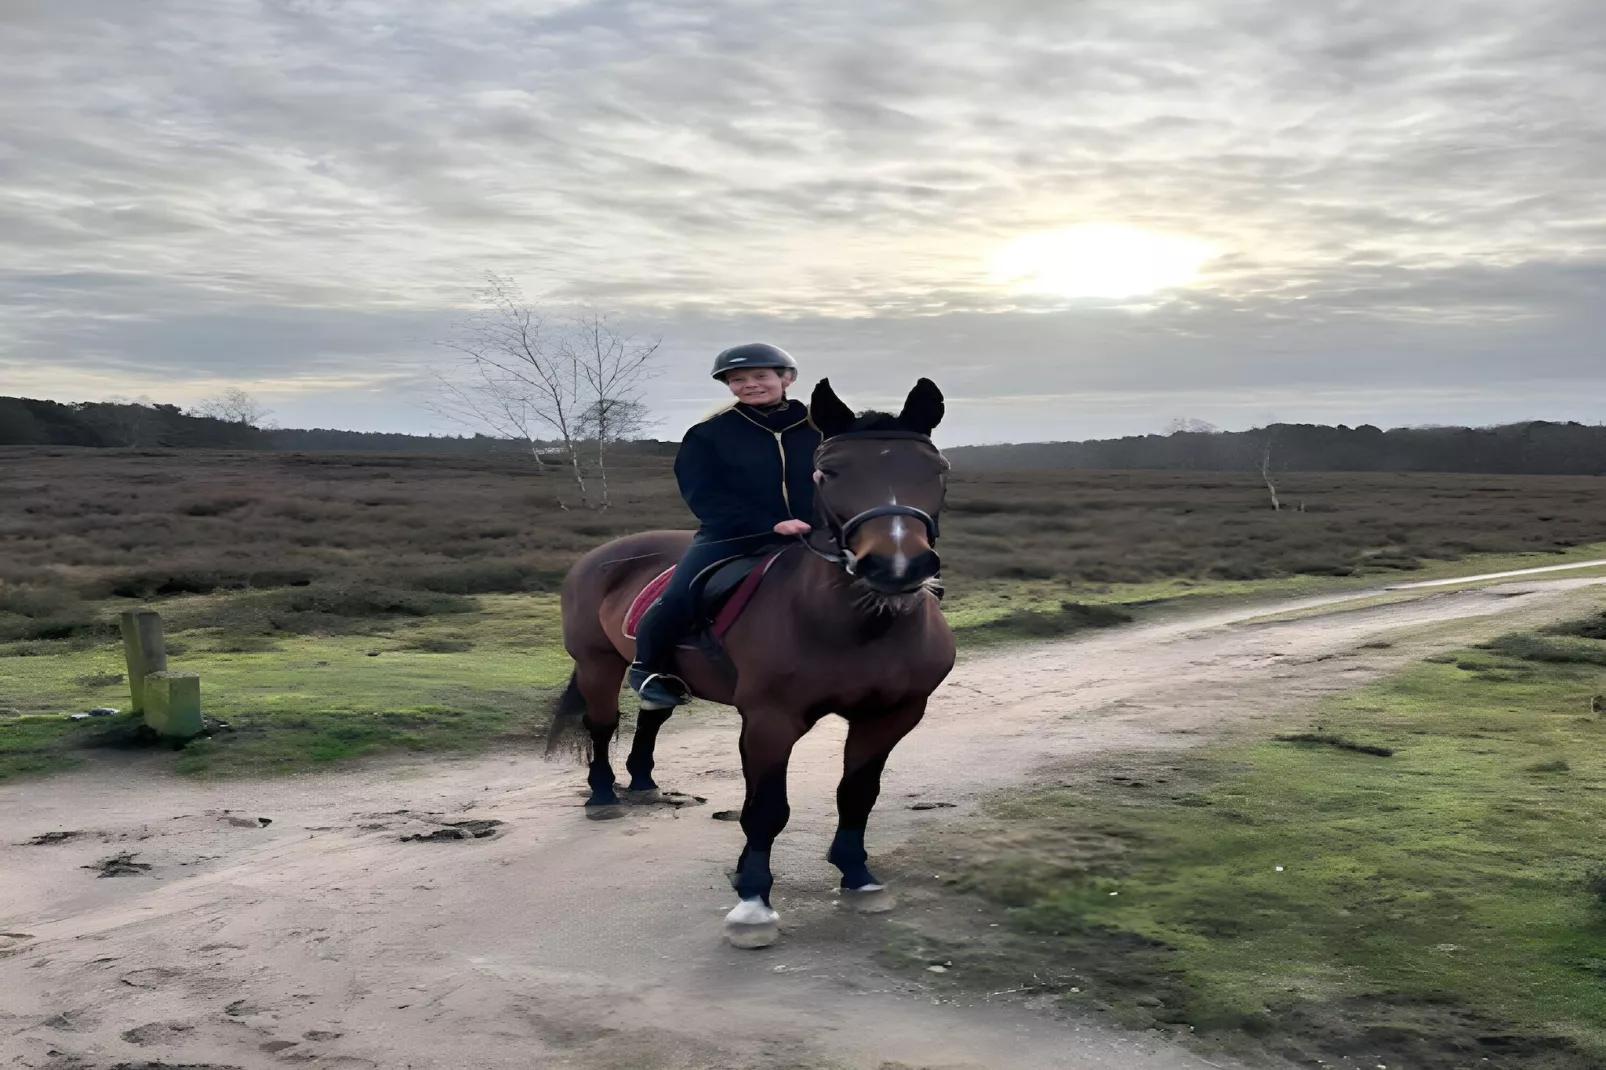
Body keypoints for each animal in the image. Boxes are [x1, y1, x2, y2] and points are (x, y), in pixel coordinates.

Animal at [549, 379, 950, 944]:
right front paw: (753, 902)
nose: (897, 565)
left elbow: (857, 793)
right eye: (830, 471)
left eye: (936, 470)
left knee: (652, 715)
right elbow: (765, 810)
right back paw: (603, 794)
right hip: (596, 664)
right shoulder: (769, 721)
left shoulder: (892, 715)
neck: (855, 625)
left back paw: (643, 782)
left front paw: (857, 875)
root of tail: (598, 555)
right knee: (601, 724)